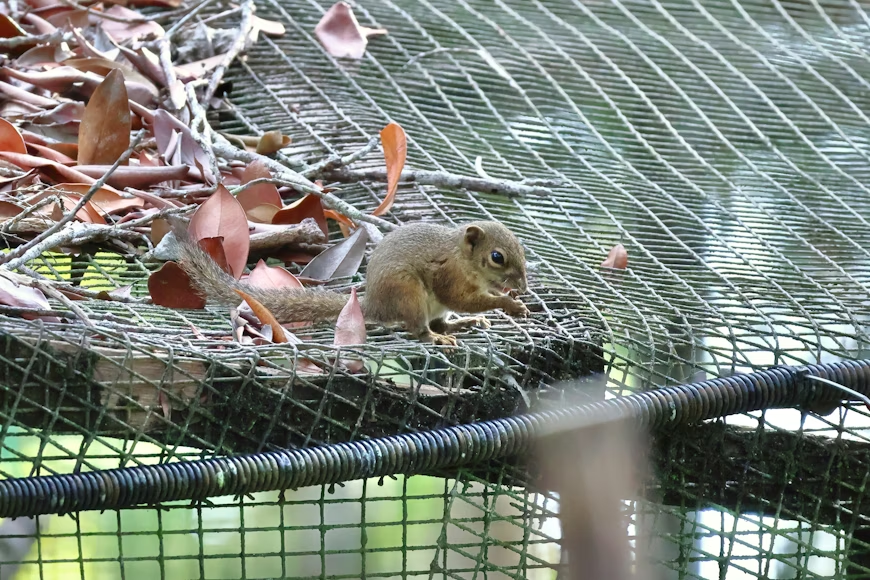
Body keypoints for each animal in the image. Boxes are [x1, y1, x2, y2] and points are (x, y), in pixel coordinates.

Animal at [170, 218, 530, 345]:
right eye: (497, 257)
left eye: (521, 247)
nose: (524, 286)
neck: (462, 257)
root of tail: (375, 305)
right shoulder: (448, 276)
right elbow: (462, 297)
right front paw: (508, 303)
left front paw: (509, 298)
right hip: (409, 294)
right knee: (420, 329)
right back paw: (437, 336)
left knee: (441, 322)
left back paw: (464, 324)